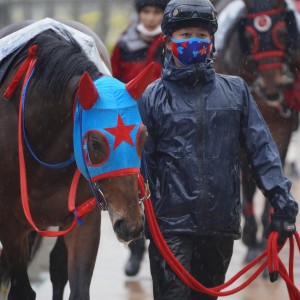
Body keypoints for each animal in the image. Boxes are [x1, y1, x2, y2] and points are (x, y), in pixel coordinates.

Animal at [0, 19, 159, 300]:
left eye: (143, 136)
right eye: (94, 142)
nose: (131, 226)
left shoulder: (85, 218)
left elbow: (78, 286)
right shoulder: (10, 222)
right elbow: (21, 289)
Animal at [213, 0, 300, 262]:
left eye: (282, 34)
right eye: (250, 37)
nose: (271, 90)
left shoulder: (281, 126)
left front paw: (267, 234)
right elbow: (250, 183)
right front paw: (252, 238)